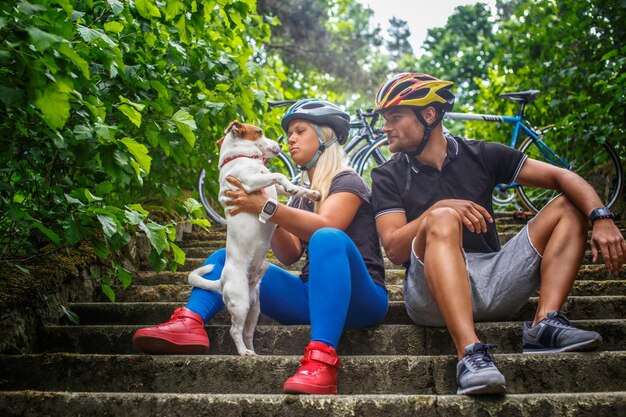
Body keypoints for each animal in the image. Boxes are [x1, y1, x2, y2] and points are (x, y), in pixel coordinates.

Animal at [186, 120, 320, 354]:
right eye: (259, 132)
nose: (281, 146)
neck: (241, 158)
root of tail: (222, 280)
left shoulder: (271, 186)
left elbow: (292, 188)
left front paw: (309, 192)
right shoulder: (250, 182)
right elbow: (279, 175)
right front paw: (292, 185)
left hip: (254, 307)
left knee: (248, 332)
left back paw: (253, 352)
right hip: (240, 303)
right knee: (234, 330)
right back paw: (243, 353)